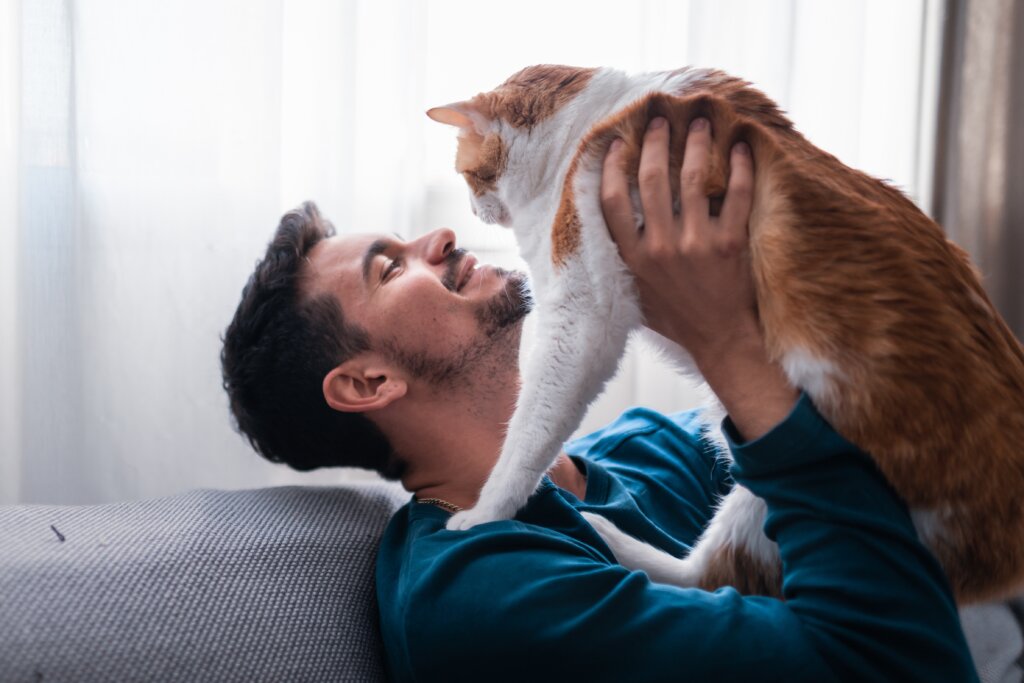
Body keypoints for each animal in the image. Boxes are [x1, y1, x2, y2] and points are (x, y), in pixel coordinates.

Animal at [428, 63, 1024, 602]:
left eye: (469, 176)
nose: (474, 214)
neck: (586, 122)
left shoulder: (580, 313)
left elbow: (528, 434)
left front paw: (486, 512)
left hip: (767, 496)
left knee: (711, 578)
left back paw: (603, 530)